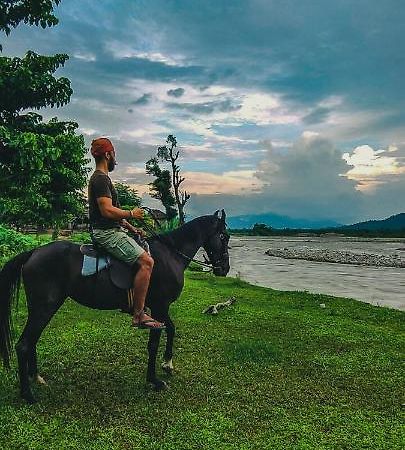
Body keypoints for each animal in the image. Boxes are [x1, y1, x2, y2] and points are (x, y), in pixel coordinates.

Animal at [0, 211, 227, 404]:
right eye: (224, 237)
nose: (224, 269)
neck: (170, 255)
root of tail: (33, 252)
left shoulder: (159, 308)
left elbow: (171, 329)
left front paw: (167, 364)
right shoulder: (160, 306)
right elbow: (154, 343)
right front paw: (154, 380)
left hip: (41, 308)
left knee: (32, 341)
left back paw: (35, 377)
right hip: (44, 307)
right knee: (24, 345)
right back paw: (28, 395)